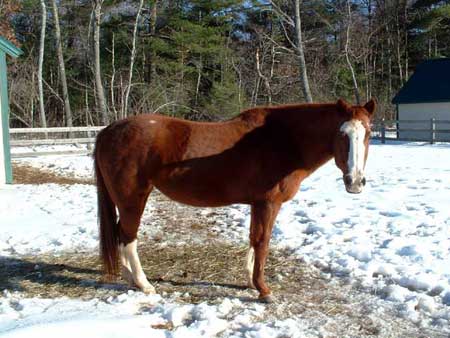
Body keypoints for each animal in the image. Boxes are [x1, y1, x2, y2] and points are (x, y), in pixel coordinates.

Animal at [95, 97, 376, 302]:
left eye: (368, 134)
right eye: (342, 134)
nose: (355, 182)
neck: (283, 140)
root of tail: (108, 131)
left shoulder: (257, 204)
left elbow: (253, 239)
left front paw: (250, 282)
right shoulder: (267, 203)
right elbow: (262, 242)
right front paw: (264, 290)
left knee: (121, 235)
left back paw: (131, 280)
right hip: (133, 200)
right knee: (128, 237)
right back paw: (144, 285)